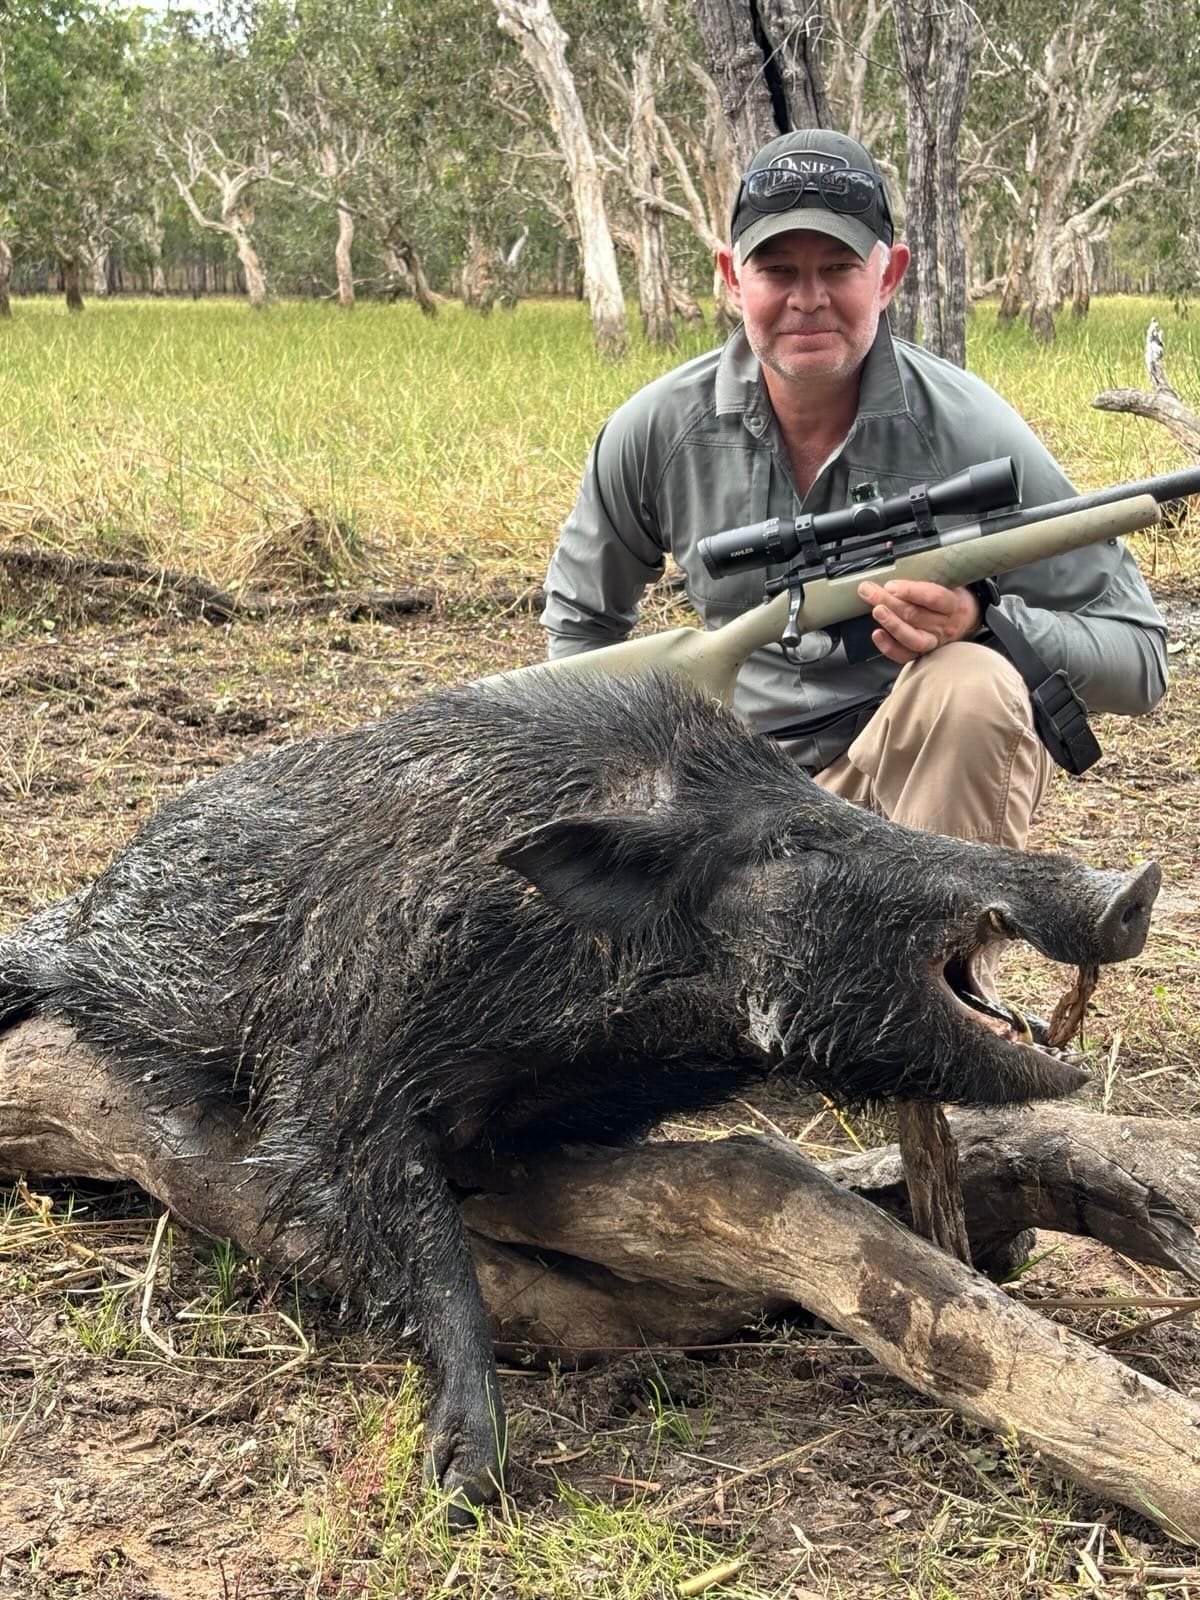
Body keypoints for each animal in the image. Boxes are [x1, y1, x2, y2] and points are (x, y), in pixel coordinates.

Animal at [0, 670, 1160, 1519]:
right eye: (791, 844)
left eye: (831, 802)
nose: (1129, 884)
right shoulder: (340, 1073)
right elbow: (422, 1242)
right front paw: (465, 1484)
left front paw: (1004, 1244)